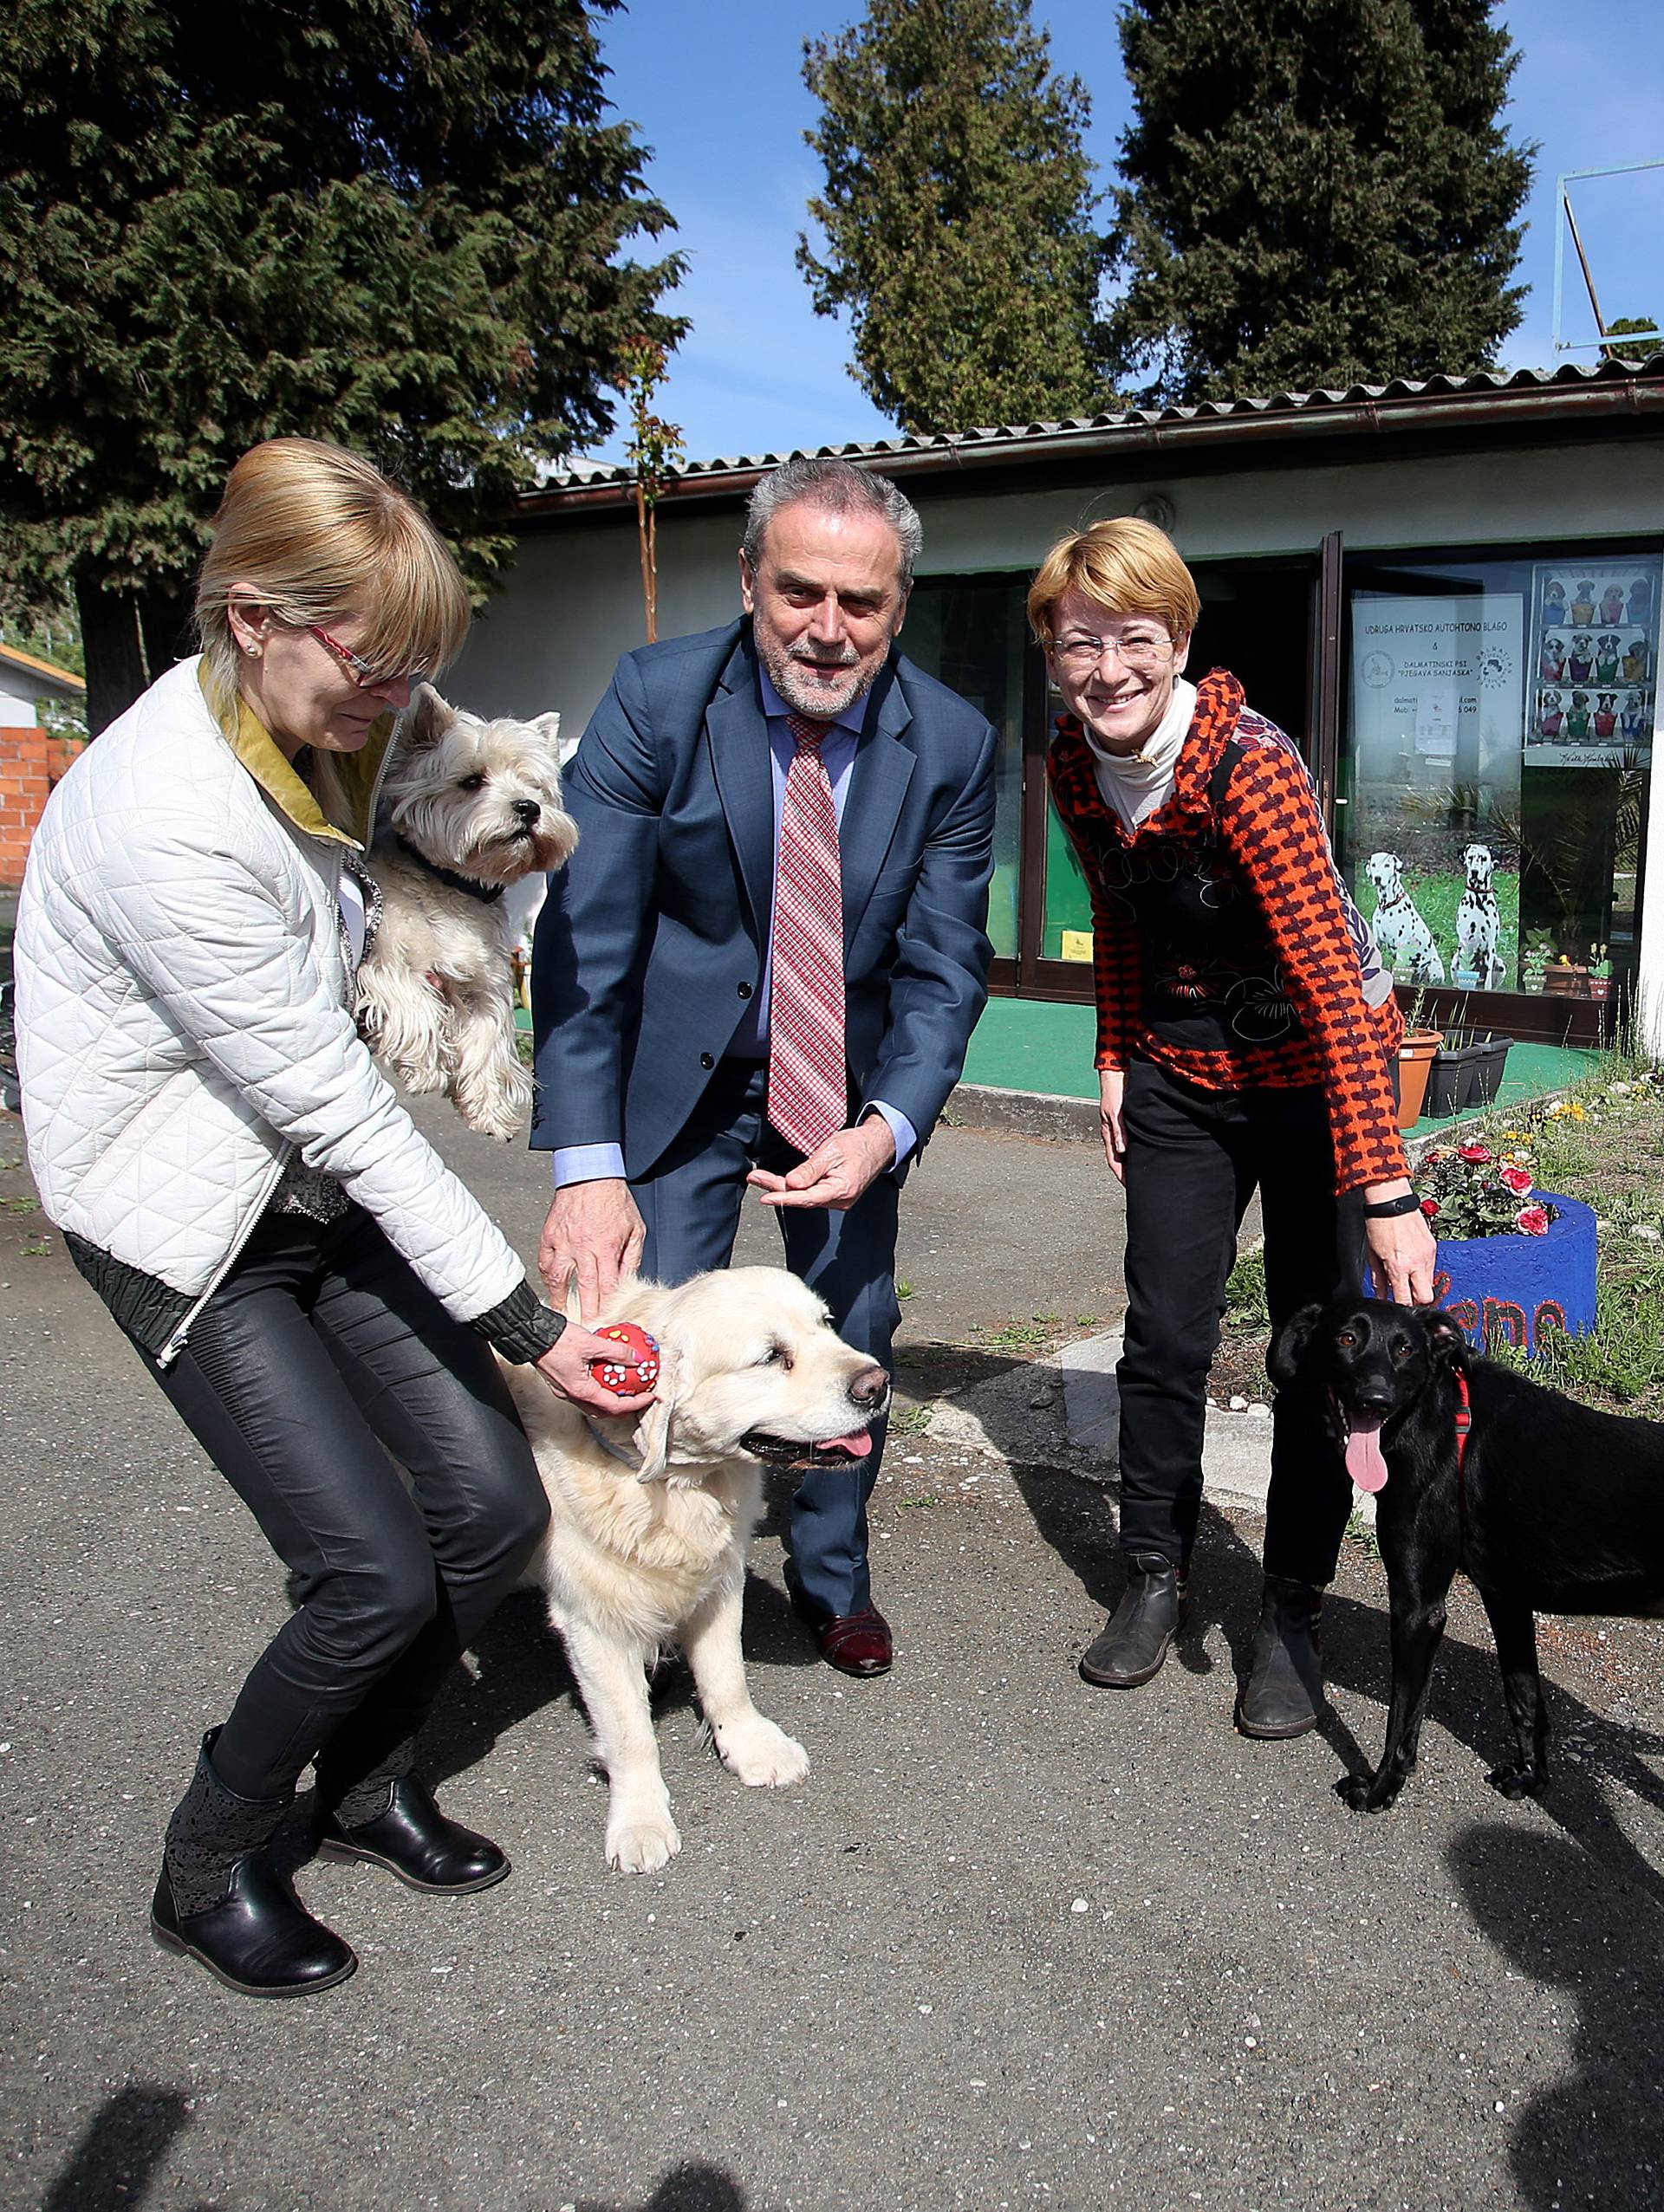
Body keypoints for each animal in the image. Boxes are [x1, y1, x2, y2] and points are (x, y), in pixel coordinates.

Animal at [358, 685, 579, 1141]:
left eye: (534, 784)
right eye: (472, 781)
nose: (528, 807)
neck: (454, 888)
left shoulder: (484, 983)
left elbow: (488, 1037)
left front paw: (491, 1108)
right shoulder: (385, 955)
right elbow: (412, 999)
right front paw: (426, 1066)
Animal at [506, 1274, 889, 1875]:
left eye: (826, 1324)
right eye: (770, 1357)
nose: (878, 1385)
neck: (679, 1488)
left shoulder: (720, 1581)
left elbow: (727, 1679)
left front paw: (752, 1747)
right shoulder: (594, 1624)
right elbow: (631, 1733)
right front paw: (640, 1820)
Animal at [1265, 1291, 1664, 1813]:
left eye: (1406, 1349)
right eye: (1346, 1338)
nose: (1375, 1399)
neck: (1436, 1418)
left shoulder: (1419, 1611)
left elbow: (1402, 1720)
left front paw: (1379, 1790)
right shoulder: (1507, 1601)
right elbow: (1525, 1701)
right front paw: (1532, 1779)